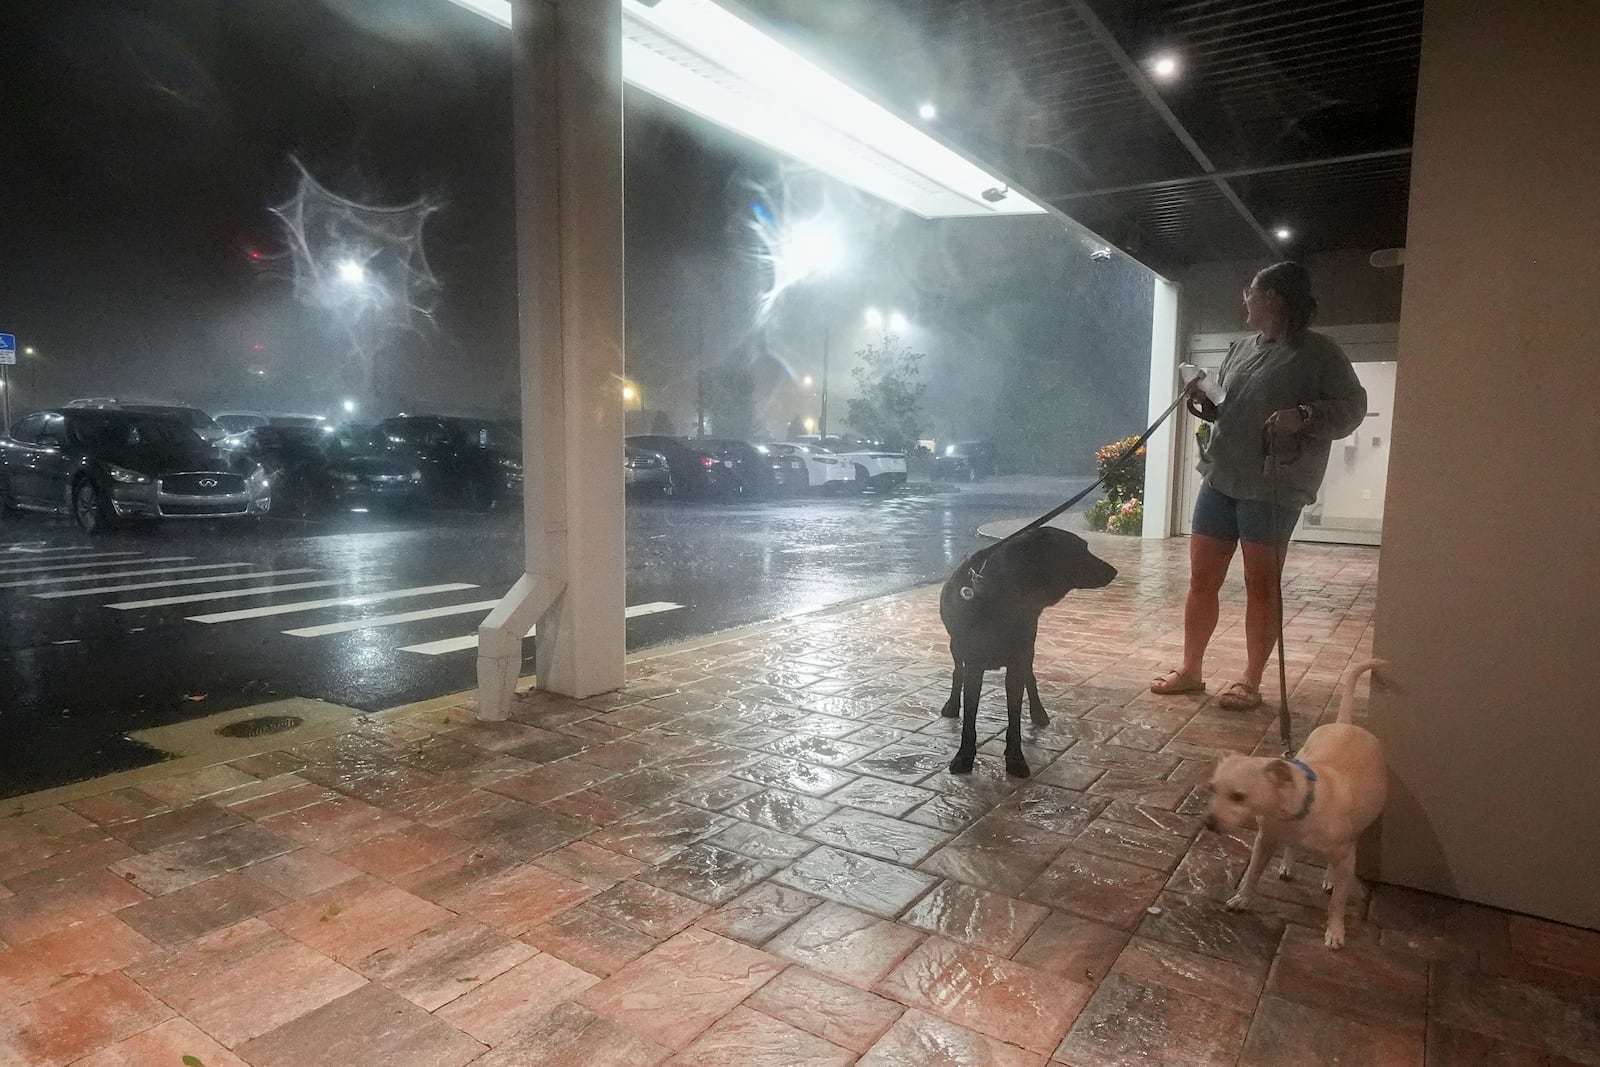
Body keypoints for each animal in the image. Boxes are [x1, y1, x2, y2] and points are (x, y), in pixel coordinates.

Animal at [934, 524, 1113, 777]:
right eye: (1079, 549)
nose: (1114, 571)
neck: (1005, 598)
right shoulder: (974, 665)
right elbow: (969, 717)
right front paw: (964, 756)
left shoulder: (1018, 661)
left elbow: (1015, 717)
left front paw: (1015, 758)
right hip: (956, 646)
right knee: (957, 670)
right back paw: (951, 704)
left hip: (1027, 650)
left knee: (1031, 677)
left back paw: (1038, 712)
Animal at [1203, 659, 1382, 953]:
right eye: (1212, 789)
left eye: (1239, 796)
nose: (1207, 823)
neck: (1295, 815)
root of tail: (1345, 723)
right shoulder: (1265, 841)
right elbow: (1252, 874)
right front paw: (1243, 899)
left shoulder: (1345, 855)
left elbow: (1338, 901)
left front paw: (1335, 931)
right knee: (1291, 849)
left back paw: (1330, 878)